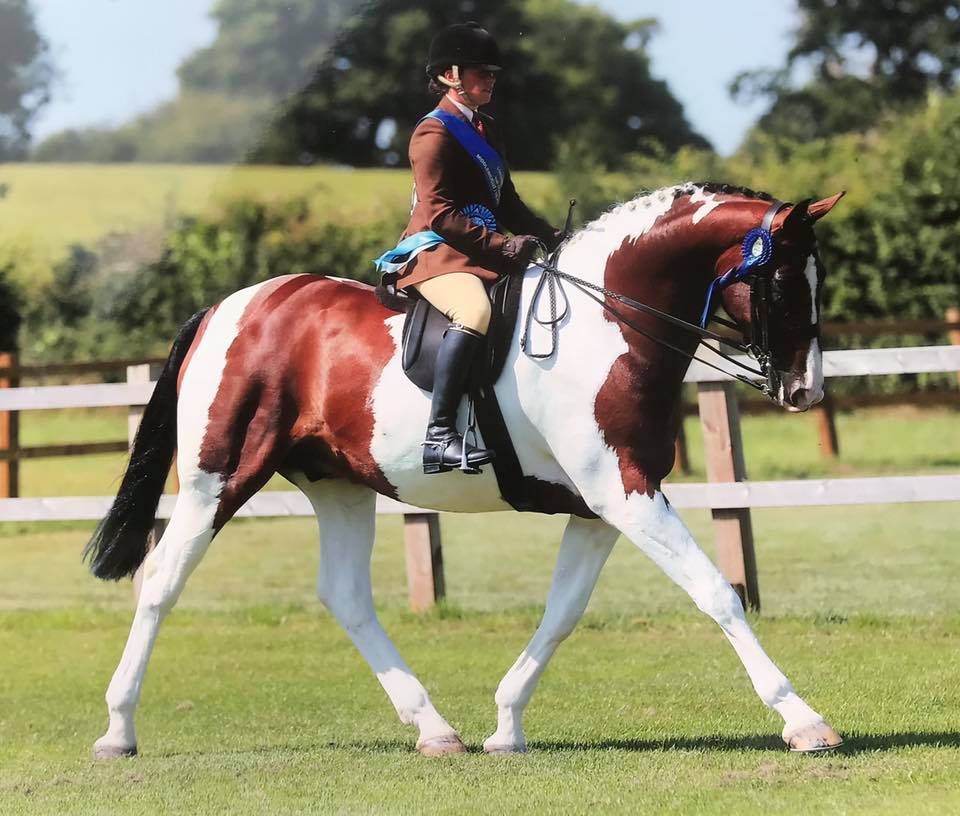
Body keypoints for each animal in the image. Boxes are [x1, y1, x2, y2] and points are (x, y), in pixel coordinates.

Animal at [86, 180, 844, 760]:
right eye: (783, 283)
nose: (805, 390)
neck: (610, 323)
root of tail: (229, 306)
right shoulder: (624, 493)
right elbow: (717, 593)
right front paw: (804, 719)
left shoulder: (602, 508)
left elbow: (562, 613)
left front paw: (506, 726)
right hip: (219, 477)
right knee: (161, 580)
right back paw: (118, 730)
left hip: (339, 485)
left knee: (346, 596)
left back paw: (435, 730)